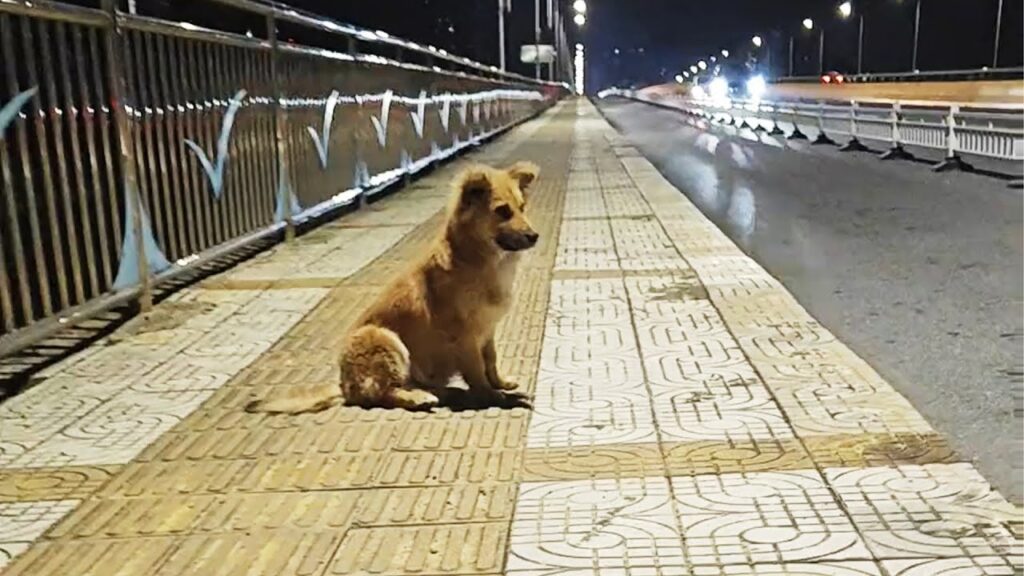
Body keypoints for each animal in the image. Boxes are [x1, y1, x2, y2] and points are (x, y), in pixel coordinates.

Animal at [244, 159, 540, 412]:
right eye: (502, 211)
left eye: (522, 207)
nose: (534, 236)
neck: (477, 260)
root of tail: (344, 386)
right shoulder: (464, 335)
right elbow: (477, 370)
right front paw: (492, 395)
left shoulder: (487, 330)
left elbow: (491, 360)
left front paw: (500, 383)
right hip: (383, 338)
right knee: (384, 393)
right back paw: (420, 397)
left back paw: (438, 392)